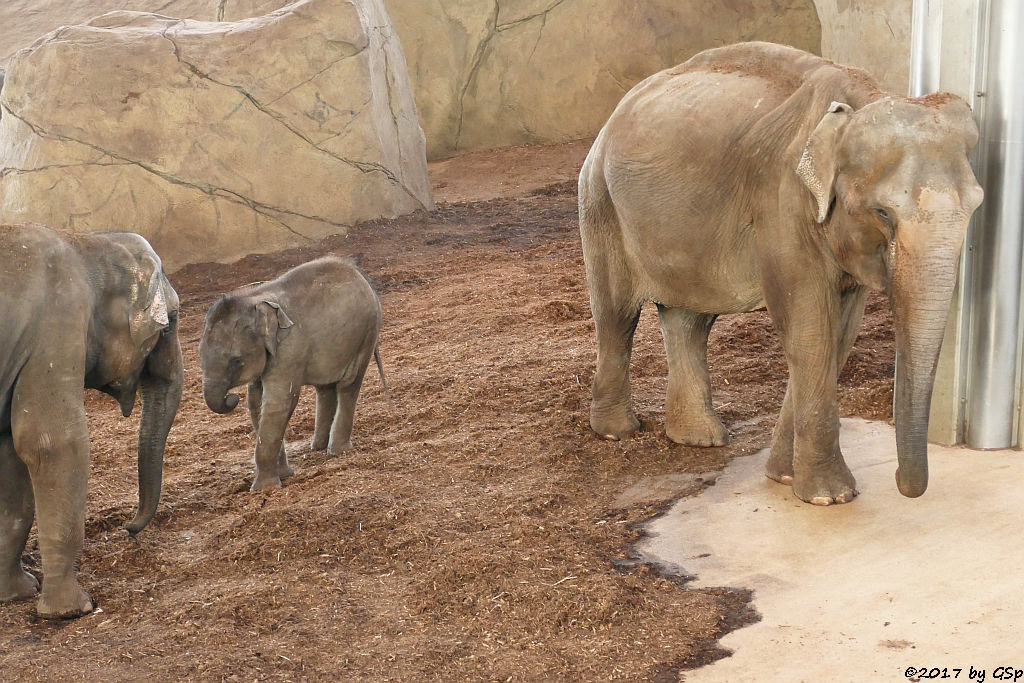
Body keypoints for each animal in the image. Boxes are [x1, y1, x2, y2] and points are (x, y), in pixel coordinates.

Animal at [0, 222, 182, 618]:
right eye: (171, 321)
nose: (129, 528)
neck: (86, 242)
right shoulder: (58, 325)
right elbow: (52, 442)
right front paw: (71, 610)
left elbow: (10, 452)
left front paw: (18, 593)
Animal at [199, 255, 387, 491]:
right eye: (200, 355)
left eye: (236, 361)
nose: (231, 398)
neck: (253, 298)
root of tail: (359, 273)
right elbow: (256, 402)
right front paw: (284, 475)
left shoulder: (289, 349)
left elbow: (279, 402)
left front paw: (263, 488)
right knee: (325, 388)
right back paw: (317, 447)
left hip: (366, 334)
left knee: (348, 385)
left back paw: (337, 450)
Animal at [577, 41, 983, 501]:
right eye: (883, 213)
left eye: (976, 206)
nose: (902, 484)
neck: (862, 100)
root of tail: (614, 113)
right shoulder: (782, 201)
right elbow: (809, 327)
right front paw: (829, 497)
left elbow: (839, 333)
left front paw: (786, 479)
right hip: (600, 201)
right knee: (616, 314)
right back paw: (617, 432)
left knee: (688, 319)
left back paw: (700, 438)